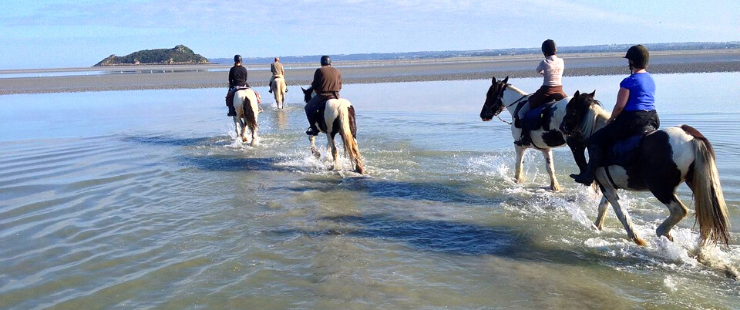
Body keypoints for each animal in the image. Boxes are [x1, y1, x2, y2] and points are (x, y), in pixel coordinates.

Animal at [560, 90, 728, 247]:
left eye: (571, 110)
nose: (562, 127)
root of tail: (692, 137)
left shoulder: (606, 187)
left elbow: (620, 213)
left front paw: (637, 239)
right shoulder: (608, 185)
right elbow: (603, 207)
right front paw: (596, 227)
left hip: (661, 188)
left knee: (679, 211)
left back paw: (663, 233)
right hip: (696, 184)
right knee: (706, 221)